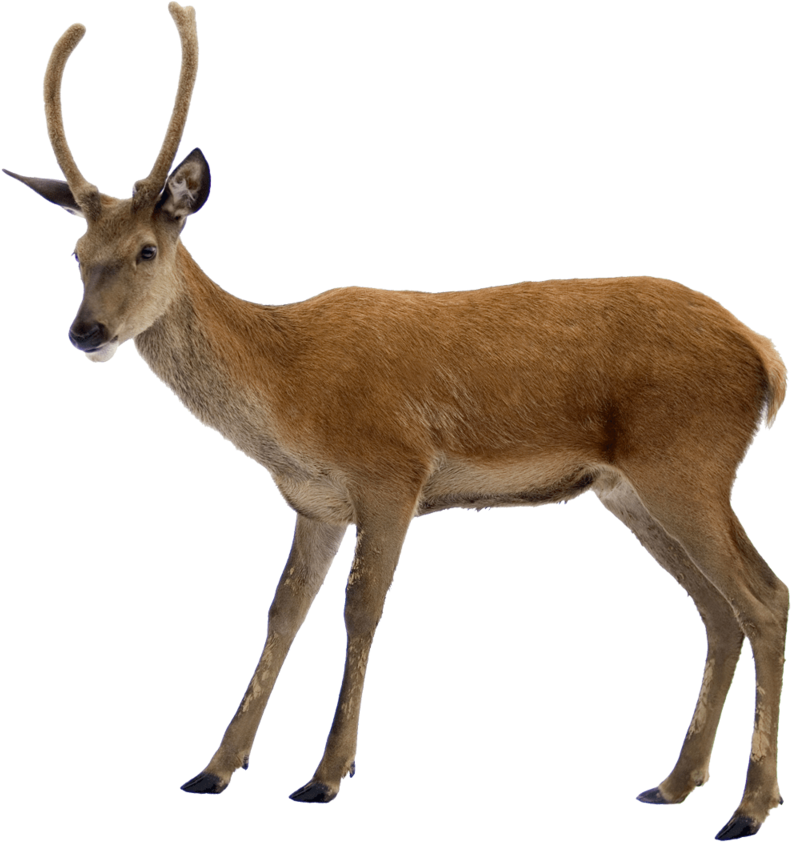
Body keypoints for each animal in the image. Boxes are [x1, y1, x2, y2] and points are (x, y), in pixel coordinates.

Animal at [3, 3, 787, 838]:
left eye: (147, 250)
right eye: (77, 252)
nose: (85, 332)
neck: (287, 392)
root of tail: (764, 357)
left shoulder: (391, 472)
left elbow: (360, 607)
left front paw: (323, 776)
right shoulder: (314, 501)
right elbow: (281, 611)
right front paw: (213, 768)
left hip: (688, 463)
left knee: (763, 596)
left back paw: (747, 806)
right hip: (628, 490)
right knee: (716, 607)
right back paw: (673, 783)